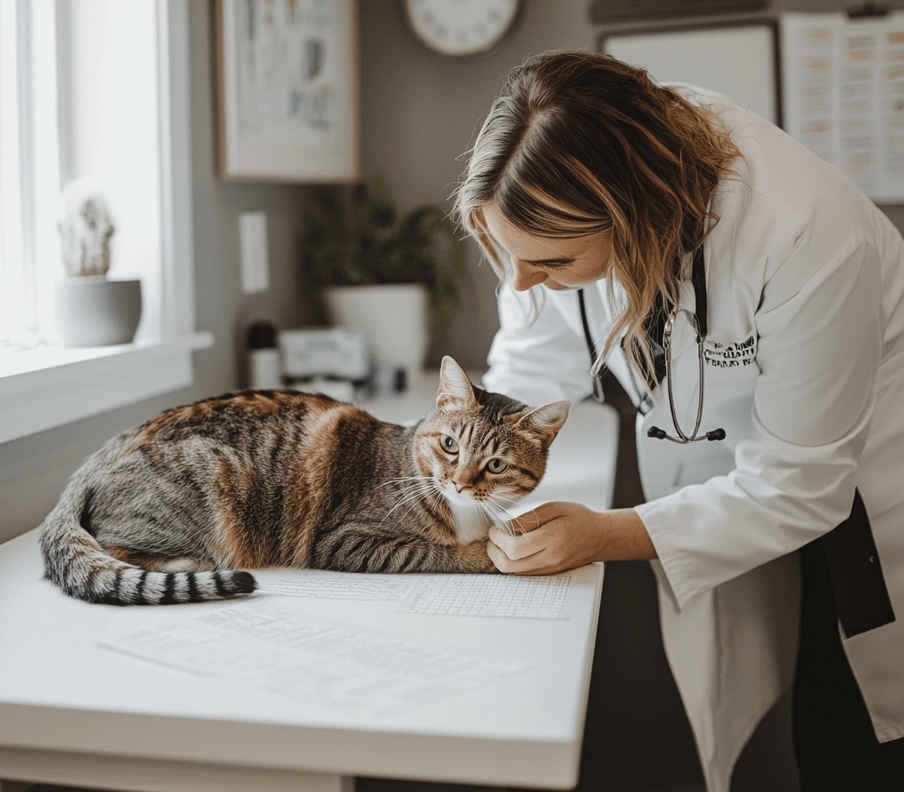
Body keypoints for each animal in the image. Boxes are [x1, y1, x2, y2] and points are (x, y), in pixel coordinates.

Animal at [40, 358, 572, 608]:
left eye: (496, 466)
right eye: (449, 445)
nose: (459, 483)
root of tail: (102, 453)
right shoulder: (346, 539)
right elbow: (436, 552)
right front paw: (484, 551)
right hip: (205, 482)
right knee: (111, 545)